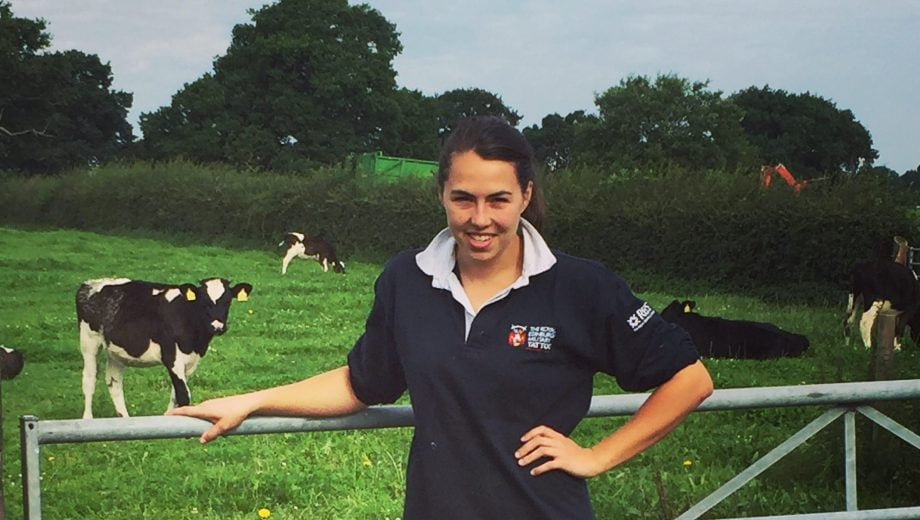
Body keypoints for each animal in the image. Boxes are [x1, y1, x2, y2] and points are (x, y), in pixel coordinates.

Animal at [77, 276, 252, 418]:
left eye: (228, 301)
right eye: (203, 302)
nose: (217, 327)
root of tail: (91, 283)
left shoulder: (189, 362)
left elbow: (176, 394)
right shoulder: (171, 357)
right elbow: (183, 394)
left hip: (116, 350)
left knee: (114, 382)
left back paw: (124, 418)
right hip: (89, 341)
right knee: (89, 379)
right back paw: (88, 418)